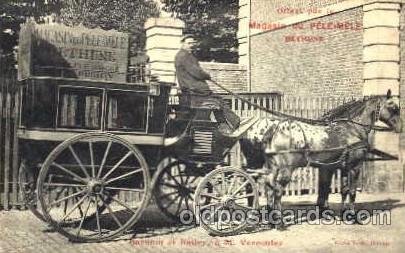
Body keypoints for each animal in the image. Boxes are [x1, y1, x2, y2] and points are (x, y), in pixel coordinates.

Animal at [238, 91, 400, 225]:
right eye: (393, 107)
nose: (399, 128)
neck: (351, 130)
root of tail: (273, 130)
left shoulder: (338, 167)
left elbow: (341, 189)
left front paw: (342, 214)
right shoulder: (354, 166)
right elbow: (351, 191)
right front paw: (352, 216)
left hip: (267, 166)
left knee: (265, 186)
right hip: (284, 169)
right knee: (275, 189)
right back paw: (277, 221)